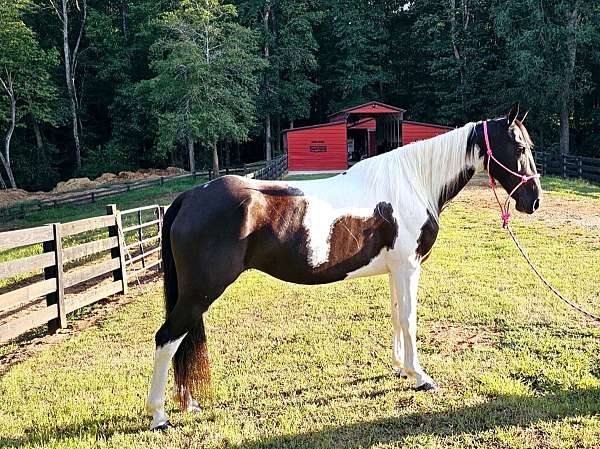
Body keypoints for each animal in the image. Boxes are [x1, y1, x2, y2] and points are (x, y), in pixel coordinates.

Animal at [146, 103, 544, 428]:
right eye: (519, 148)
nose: (534, 200)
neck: (413, 183)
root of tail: (188, 197)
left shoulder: (396, 269)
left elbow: (396, 315)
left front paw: (401, 368)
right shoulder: (409, 267)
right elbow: (409, 319)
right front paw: (421, 377)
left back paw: (188, 404)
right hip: (200, 291)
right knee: (167, 338)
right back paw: (159, 416)